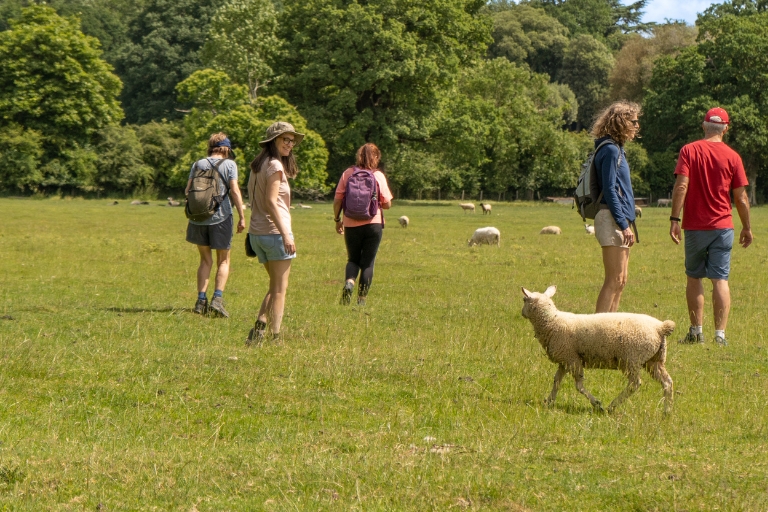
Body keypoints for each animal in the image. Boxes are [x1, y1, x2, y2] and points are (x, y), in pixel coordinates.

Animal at [520, 286, 676, 414]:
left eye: (524, 299)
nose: (521, 313)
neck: (551, 321)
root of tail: (660, 328)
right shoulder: (564, 360)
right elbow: (556, 381)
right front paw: (550, 401)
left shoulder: (572, 359)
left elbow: (579, 386)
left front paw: (597, 404)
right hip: (654, 360)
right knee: (667, 382)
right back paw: (667, 411)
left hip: (631, 359)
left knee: (635, 384)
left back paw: (612, 406)